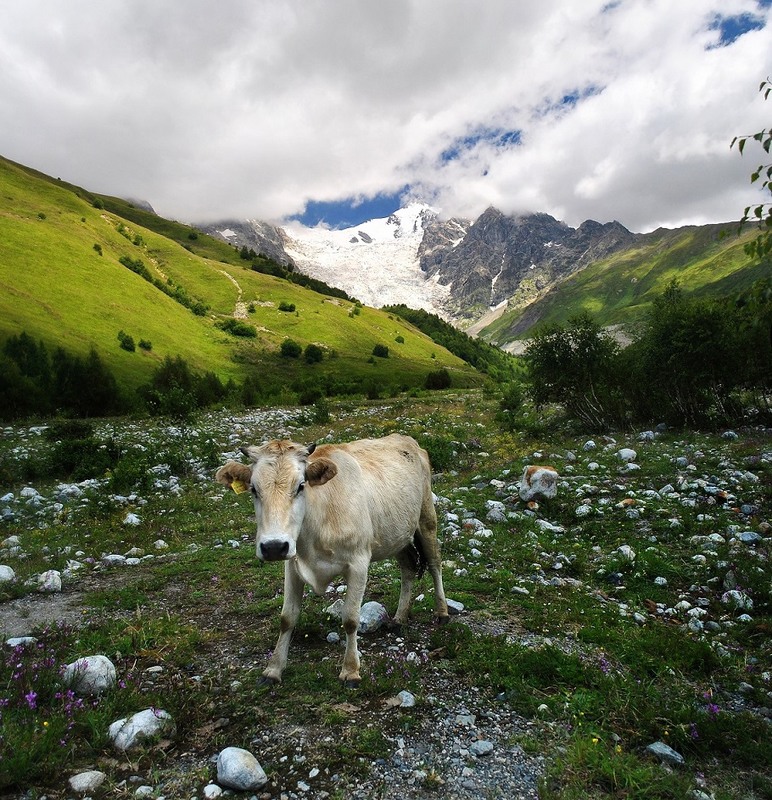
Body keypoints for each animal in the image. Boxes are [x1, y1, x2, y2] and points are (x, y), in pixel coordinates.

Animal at [214, 434, 450, 684]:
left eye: (301, 486)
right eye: (254, 489)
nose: (274, 547)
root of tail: (405, 438)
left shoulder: (358, 563)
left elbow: (351, 618)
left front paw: (351, 670)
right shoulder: (292, 565)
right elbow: (287, 617)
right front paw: (273, 669)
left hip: (427, 518)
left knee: (434, 563)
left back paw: (442, 612)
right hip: (397, 535)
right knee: (408, 568)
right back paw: (399, 618)